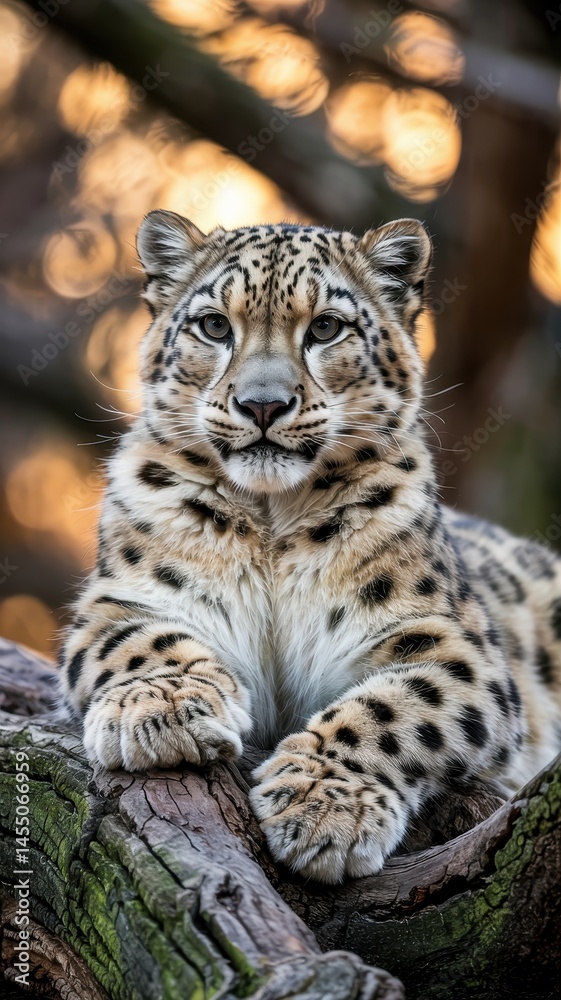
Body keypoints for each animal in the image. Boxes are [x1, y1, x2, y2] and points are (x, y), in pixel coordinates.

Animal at [60, 210, 561, 884]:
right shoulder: (121, 599)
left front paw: (323, 808)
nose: (262, 404)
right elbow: (139, 643)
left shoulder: (449, 640)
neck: (272, 521)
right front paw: (164, 710)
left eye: (325, 327)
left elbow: (394, 709)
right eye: (215, 325)